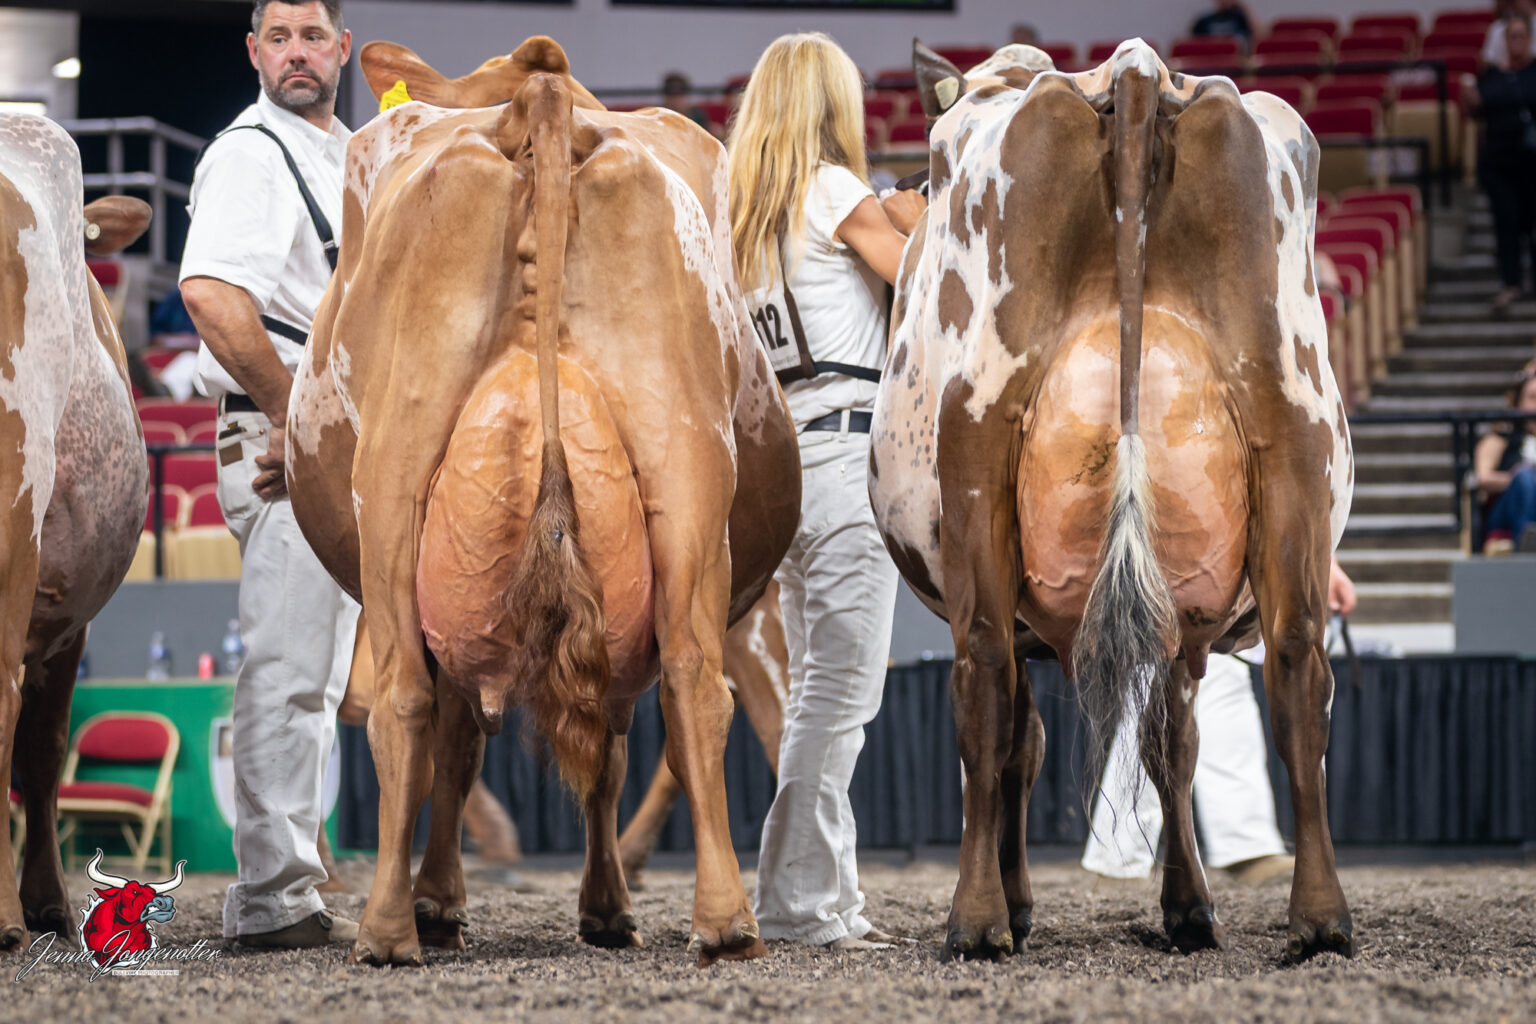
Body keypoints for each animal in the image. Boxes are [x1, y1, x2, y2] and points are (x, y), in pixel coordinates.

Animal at [285, 36, 800, 966]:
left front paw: (442, 901)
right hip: (687, 474)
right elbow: (604, 739)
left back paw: (387, 930)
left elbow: (458, 738)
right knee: (695, 686)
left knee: (404, 704)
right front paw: (601, 907)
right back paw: (725, 922)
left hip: (392, 489)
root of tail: (541, 98)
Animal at [868, 40, 1354, 962]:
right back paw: (1320, 919)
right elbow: (1175, 742)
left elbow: (1027, 746)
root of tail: (1134, 72)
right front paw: (1188, 906)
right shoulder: (1185, 628)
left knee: (982, 682)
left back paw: (976, 920)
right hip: (1294, 439)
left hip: (978, 455)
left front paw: (1024, 902)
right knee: (1299, 671)